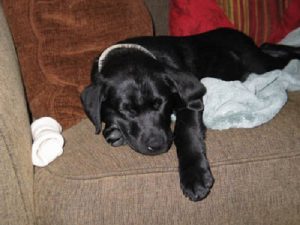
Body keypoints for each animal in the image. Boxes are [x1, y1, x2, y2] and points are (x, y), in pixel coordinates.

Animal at [80, 28, 300, 202]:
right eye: (127, 110)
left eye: (161, 103)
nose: (158, 146)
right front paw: (115, 130)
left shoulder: (191, 100)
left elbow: (185, 132)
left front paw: (195, 177)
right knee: (269, 46)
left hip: (259, 64)